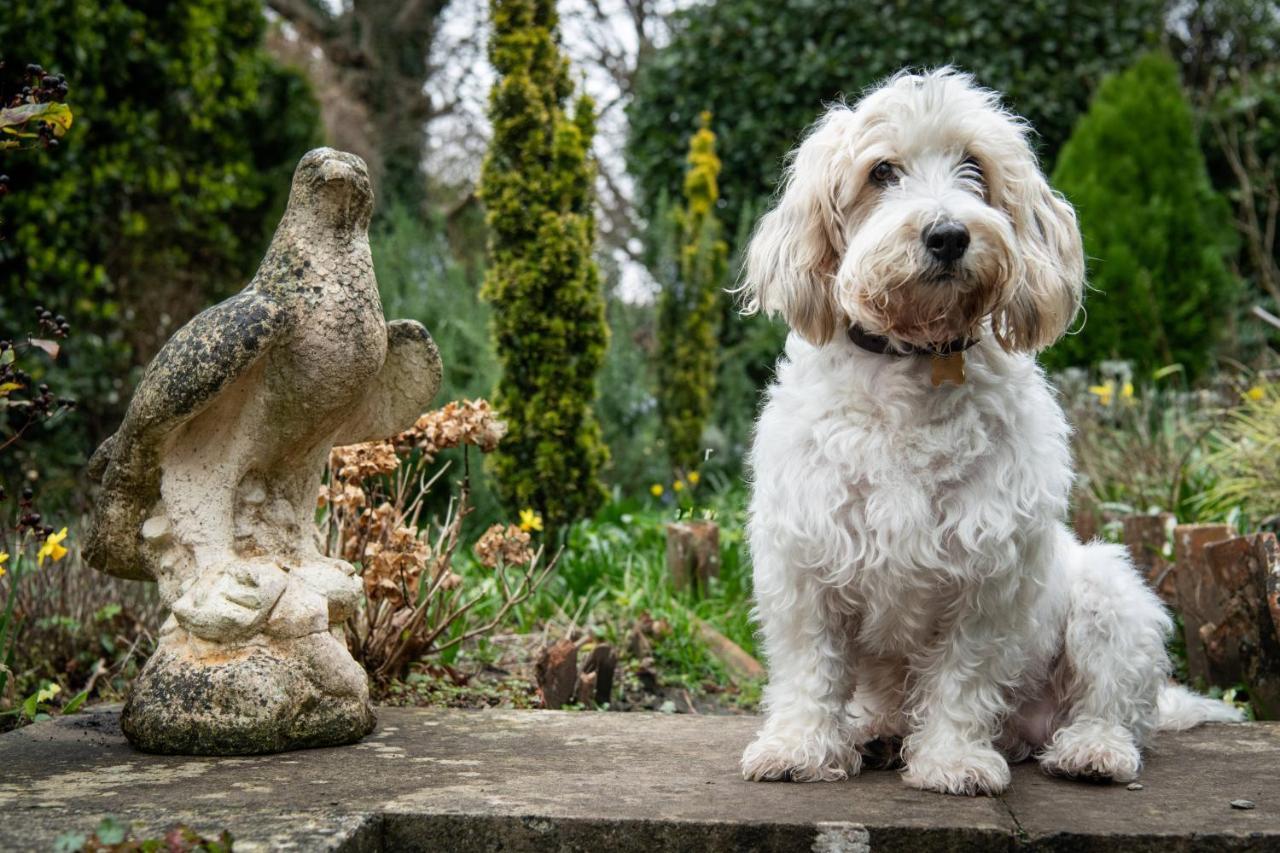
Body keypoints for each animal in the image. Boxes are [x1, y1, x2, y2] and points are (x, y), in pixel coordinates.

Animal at [742, 69, 1239, 794]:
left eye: (974, 166)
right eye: (881, 171)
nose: (949, 234)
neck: (915, 360)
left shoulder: (987, 570)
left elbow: (963, 674)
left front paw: (952, 759)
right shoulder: (807, 561)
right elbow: (811, 668)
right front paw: (799, 747)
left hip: (1112, 595)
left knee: (1114, 705)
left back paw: (1092, 750)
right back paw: (875, 730)